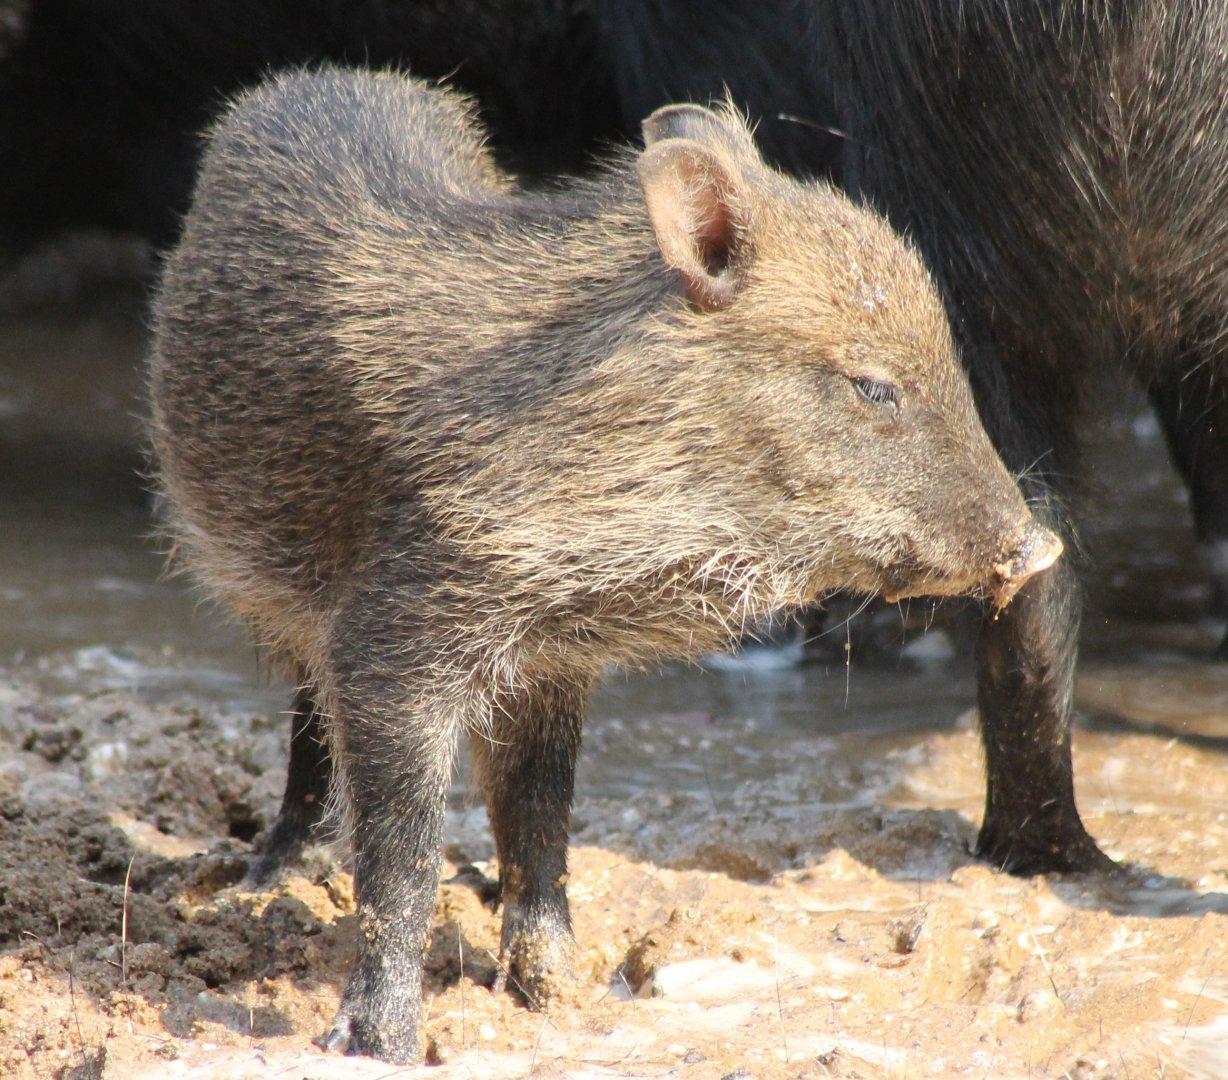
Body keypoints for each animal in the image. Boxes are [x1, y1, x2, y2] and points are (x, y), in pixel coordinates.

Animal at [148, 68, 1060, 1063]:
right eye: (872, 386)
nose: (1040, 546)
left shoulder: (551, 666)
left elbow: (541, 830)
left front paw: (561, 1001)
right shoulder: (397, 638)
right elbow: (403, 857)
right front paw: (374, 1045)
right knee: (310, 727)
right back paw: (268, 883)